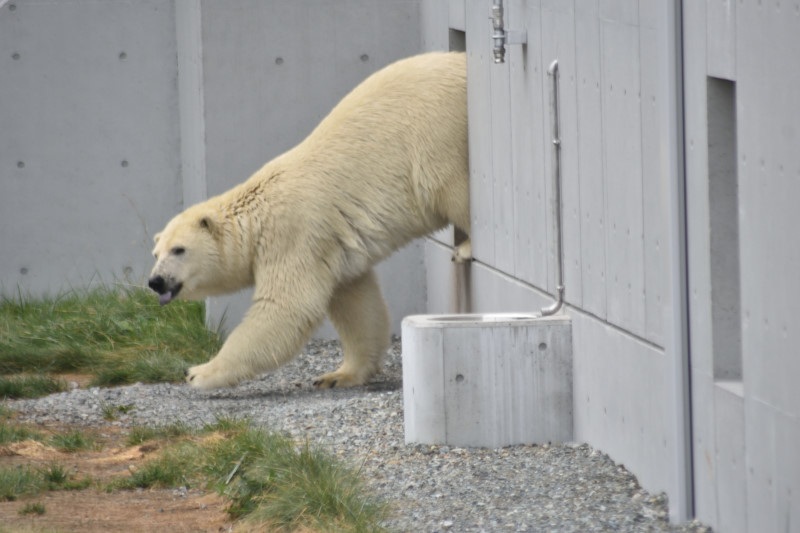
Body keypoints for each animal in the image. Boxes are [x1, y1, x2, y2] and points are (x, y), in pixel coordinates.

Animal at [148, 52, 468, 388]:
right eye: (156, 253)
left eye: (179, 250)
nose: (155, 281)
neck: (256, 216)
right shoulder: (335, 249)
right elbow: (356, 304)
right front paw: (339, 375)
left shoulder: (291, 235)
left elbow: (286, 306)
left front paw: (200, 372)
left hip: (436, 127)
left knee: (447, 185)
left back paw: (466, 247)